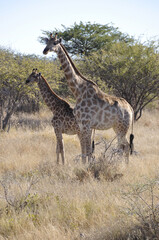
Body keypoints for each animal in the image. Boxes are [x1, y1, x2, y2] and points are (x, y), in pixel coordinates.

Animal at [42, 33, 134, 163]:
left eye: (55, 43)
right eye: (47, 42)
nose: (45, 50)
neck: (78, 91)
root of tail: (131, 109)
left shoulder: (86, 125)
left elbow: (88, 151)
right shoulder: (82, 125)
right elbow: (85, 151)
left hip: (122, 128)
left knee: (125, 146)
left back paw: (123, 166)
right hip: (117, 128)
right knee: (123, 147)